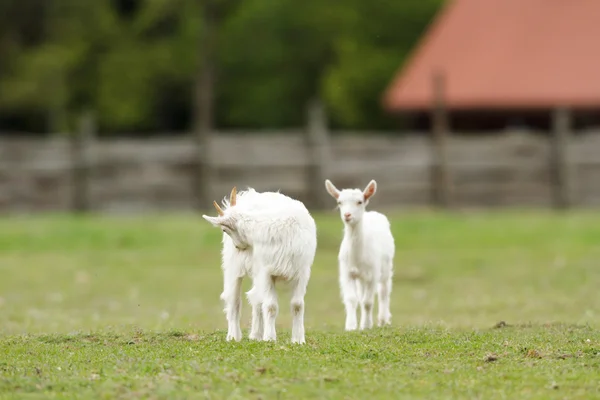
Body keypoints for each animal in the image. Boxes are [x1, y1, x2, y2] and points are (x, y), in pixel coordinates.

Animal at [203, 188, 316, 344]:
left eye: (224, 229)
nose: (238, 247)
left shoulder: (302, 272)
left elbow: (297, 305)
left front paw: (298, 339)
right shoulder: (266, 272)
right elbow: (271, 306)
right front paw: (269, 337)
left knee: (255, 299)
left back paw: (256, 335)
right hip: (234, 266)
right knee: (234, 300)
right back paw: (233, 336)